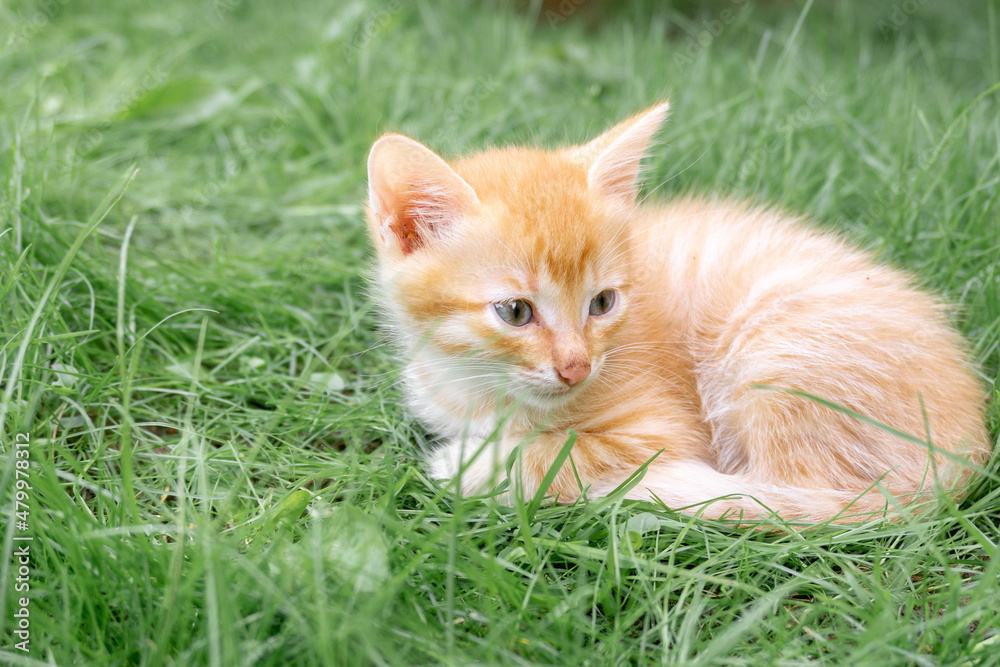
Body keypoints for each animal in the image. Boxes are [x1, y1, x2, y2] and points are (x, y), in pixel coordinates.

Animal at [364, 102, 988, 524]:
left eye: (602, 303)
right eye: (516, 312)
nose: (576, 367)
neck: (478, 385)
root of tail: (966, 449)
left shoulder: (664, 428)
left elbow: (567, 449)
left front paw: (474, 467)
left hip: (775, 349)